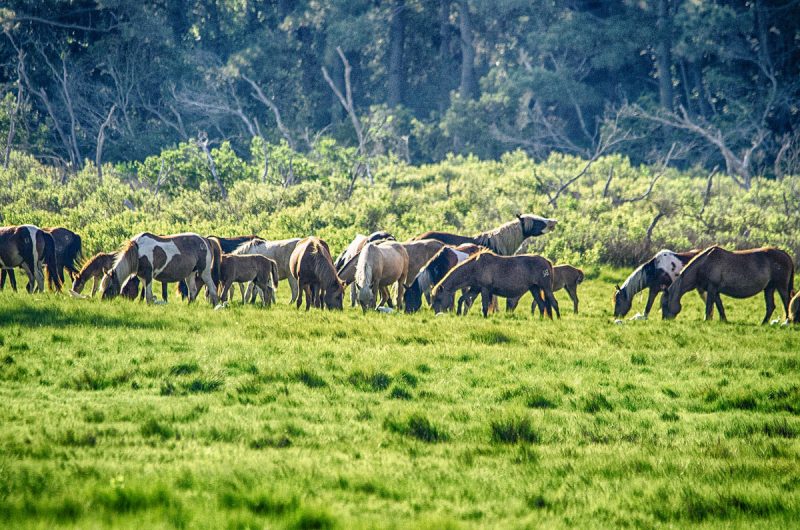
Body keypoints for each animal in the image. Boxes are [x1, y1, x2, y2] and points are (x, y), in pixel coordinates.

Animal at [660, 244, 796, 322]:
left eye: (665, 304)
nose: (665, 321)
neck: (705, 264)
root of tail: (784, 253)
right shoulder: (715, 290)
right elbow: (719, 306)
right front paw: (723, 321)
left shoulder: (712, 288)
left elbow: (709, 305)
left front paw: (706, 320)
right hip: (769, 288)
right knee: (771, 307)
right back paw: (763, 323)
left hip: (781, 287)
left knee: (787, 302)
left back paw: (787, 322)